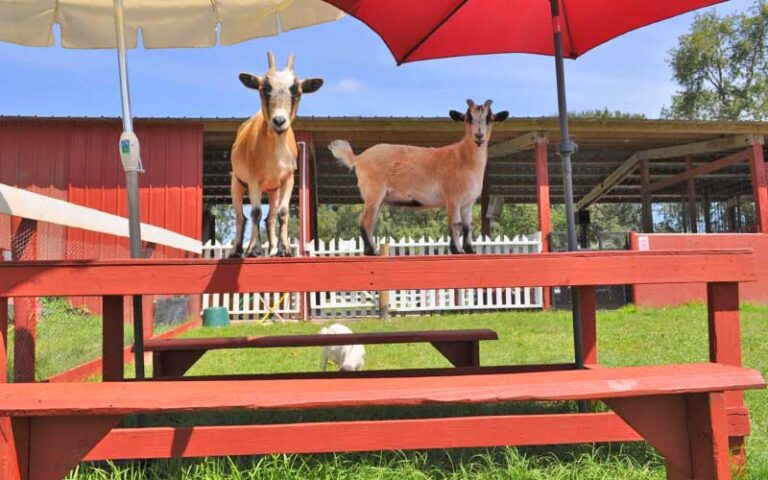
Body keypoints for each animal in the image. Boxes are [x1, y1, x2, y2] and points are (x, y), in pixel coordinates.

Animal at [230, 51, 322, 258]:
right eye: (264, 90)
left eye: (296, 92)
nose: (279, 121)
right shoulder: (253, 180)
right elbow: (255, 212)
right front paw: (254, 249)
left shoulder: (288, 179)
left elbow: (282, 212)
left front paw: (284, 249)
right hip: (237, 183)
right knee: (241, 216)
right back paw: (237, 250)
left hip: (273, 190)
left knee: (270, 217)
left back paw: (271, 249)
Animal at [328, 100, 508, 256]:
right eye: (467, 118)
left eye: (490, 119)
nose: (479, 136)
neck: (462, 157)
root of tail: (358, 158)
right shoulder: (452, 198)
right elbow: (455, 224)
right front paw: (457, 250)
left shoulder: (467, 202)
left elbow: (468, 226)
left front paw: (470, 250)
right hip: (373, 191)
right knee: (365, 219)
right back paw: (371, 252)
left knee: (371, 221)